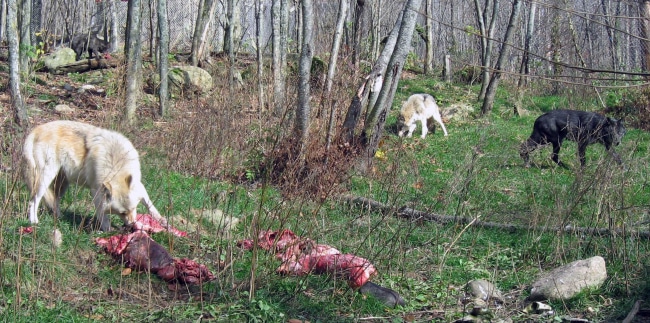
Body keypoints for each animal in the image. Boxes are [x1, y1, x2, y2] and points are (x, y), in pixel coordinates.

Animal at [21, 120, 166, 232]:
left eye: (133, 208)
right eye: (122, 213)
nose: (132, 225)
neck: (116, 163)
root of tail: (35, 130)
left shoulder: (140, 187)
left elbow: (151, 206)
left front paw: (162, 221)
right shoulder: (96, 192)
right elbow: (103, 216)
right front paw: (108, 231)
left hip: (62, 182)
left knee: (55, 200)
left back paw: (59, 217)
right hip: (45, 178)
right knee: (33, 200)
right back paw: (33, 221)